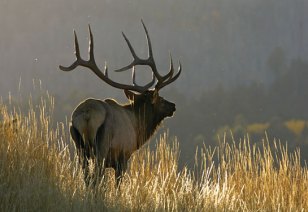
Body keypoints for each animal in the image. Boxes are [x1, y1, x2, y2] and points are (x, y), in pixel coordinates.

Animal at [59, 20, 182, 185]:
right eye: (161, 100)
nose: (173, 106)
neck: (138, 128)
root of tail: (87, 114)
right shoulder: (124, 156)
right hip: (102, 146)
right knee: (96, 176)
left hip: (78, 144)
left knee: (86, 176)